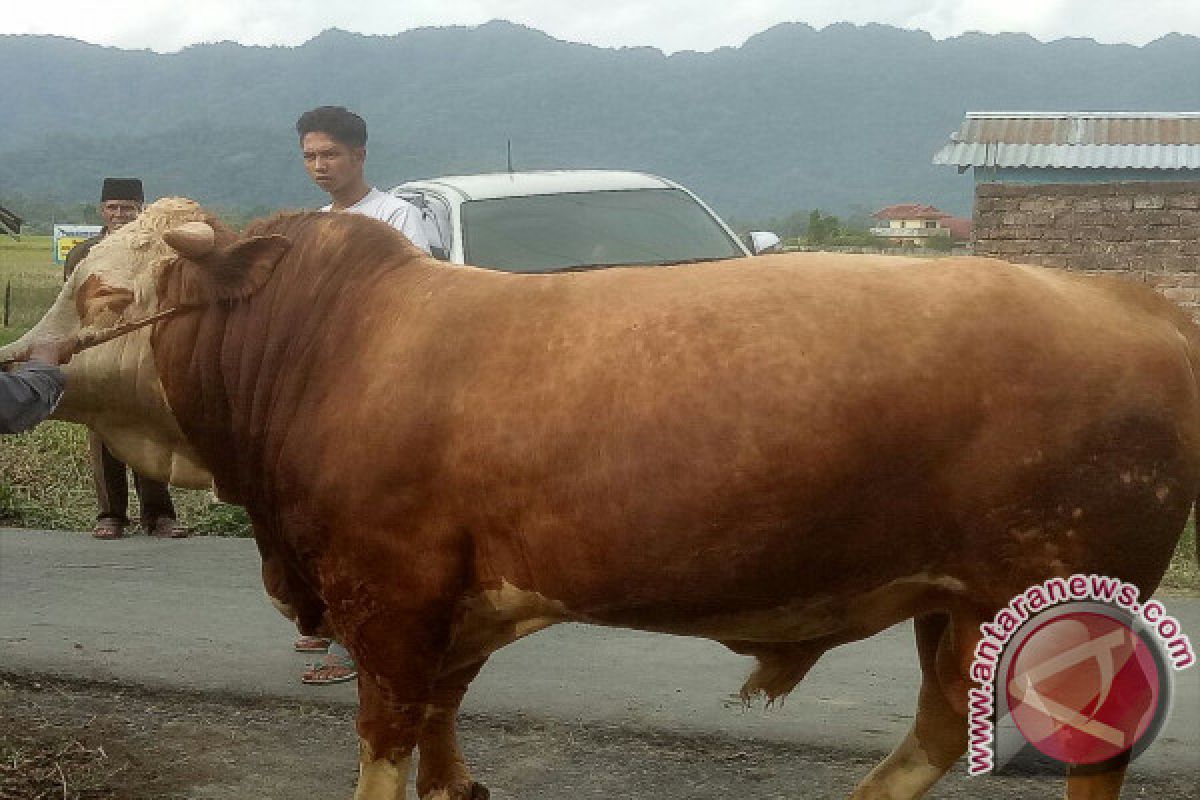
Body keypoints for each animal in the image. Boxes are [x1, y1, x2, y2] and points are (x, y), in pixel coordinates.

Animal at [4, 195, 1195, 800]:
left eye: (102, 290)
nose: (20, 359)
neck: (329, 344)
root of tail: (1133, 299)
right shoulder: (454, 602)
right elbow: (441, 722)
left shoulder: (386, 596)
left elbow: (386, 737)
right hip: (957, 603)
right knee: (941, 726)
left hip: (1073, 607)